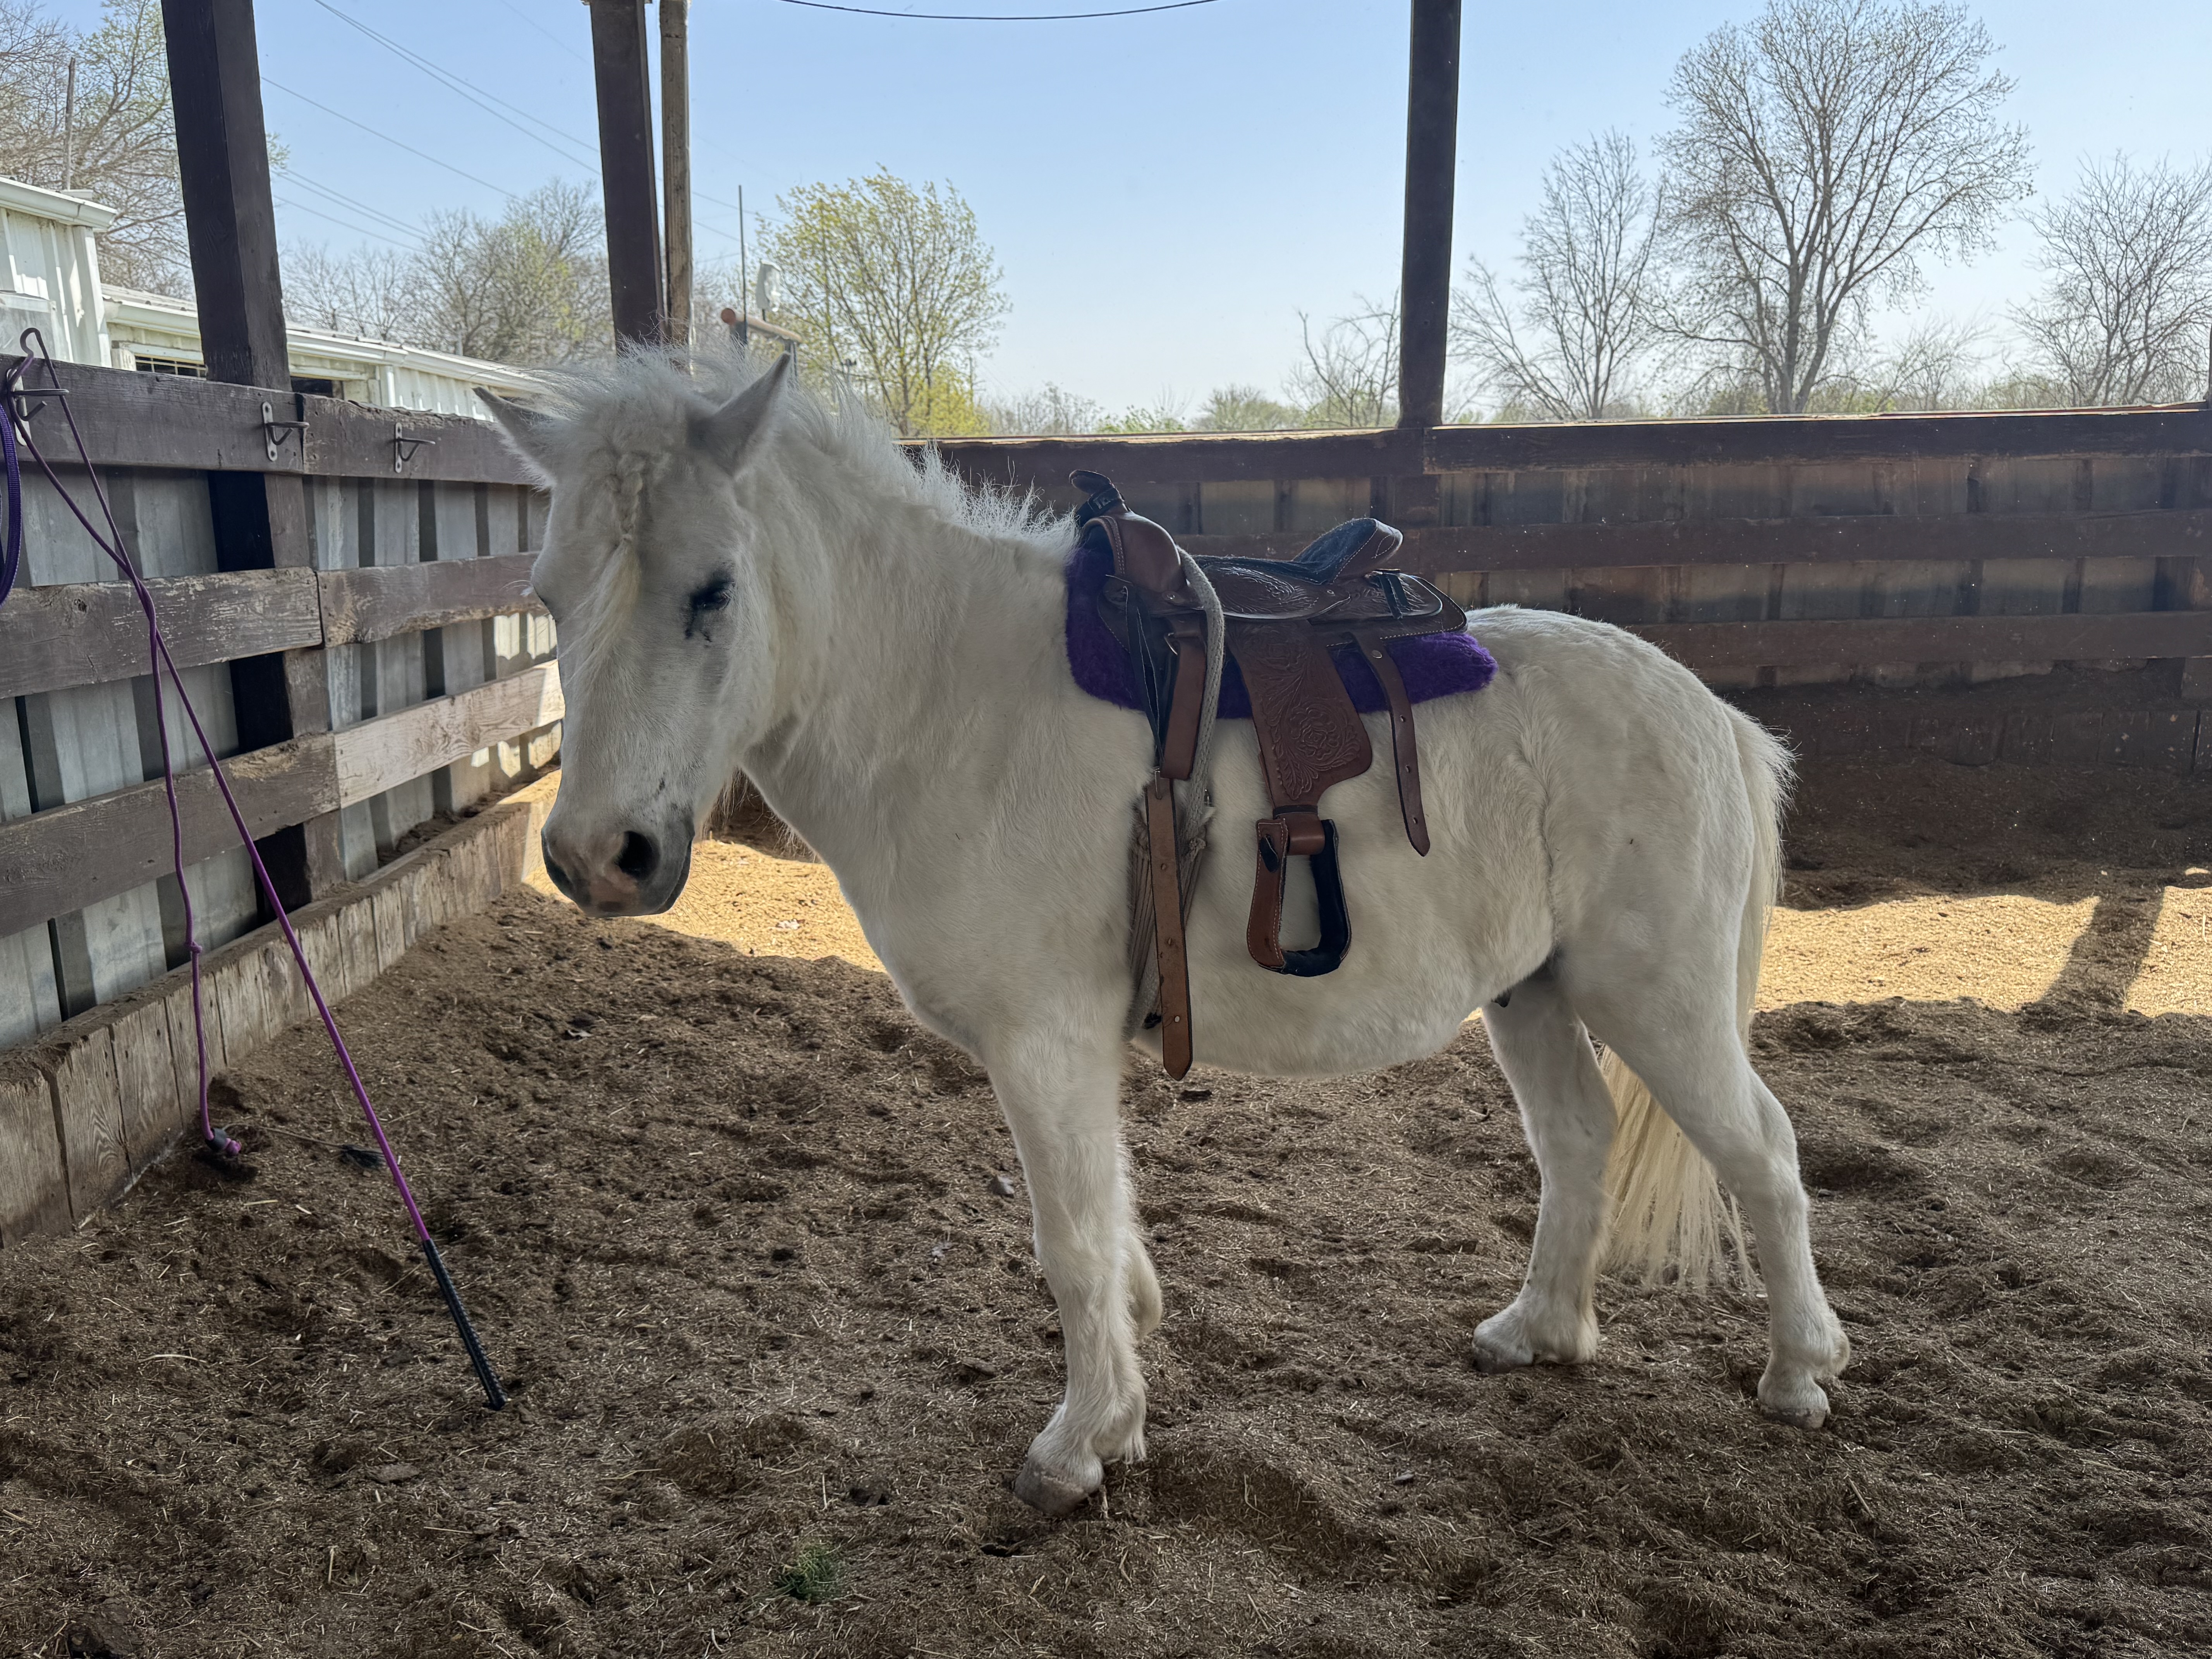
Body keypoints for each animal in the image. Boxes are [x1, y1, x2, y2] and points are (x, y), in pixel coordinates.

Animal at [479, 353, 1850, 1516]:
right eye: (547, 596)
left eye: (711, 588)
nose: (598, 858)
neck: (950, 708)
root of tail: (1711, 715)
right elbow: (1112, 1226)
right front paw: (1127, 1392)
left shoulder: (1043, 1044)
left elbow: (1071, 1239)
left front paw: (1077, 1445)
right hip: (1536, 993)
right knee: (1577, 1141)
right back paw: (1538, 1332)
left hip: (1657, 1002)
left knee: (1765, 1155)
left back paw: (1798, 1372)